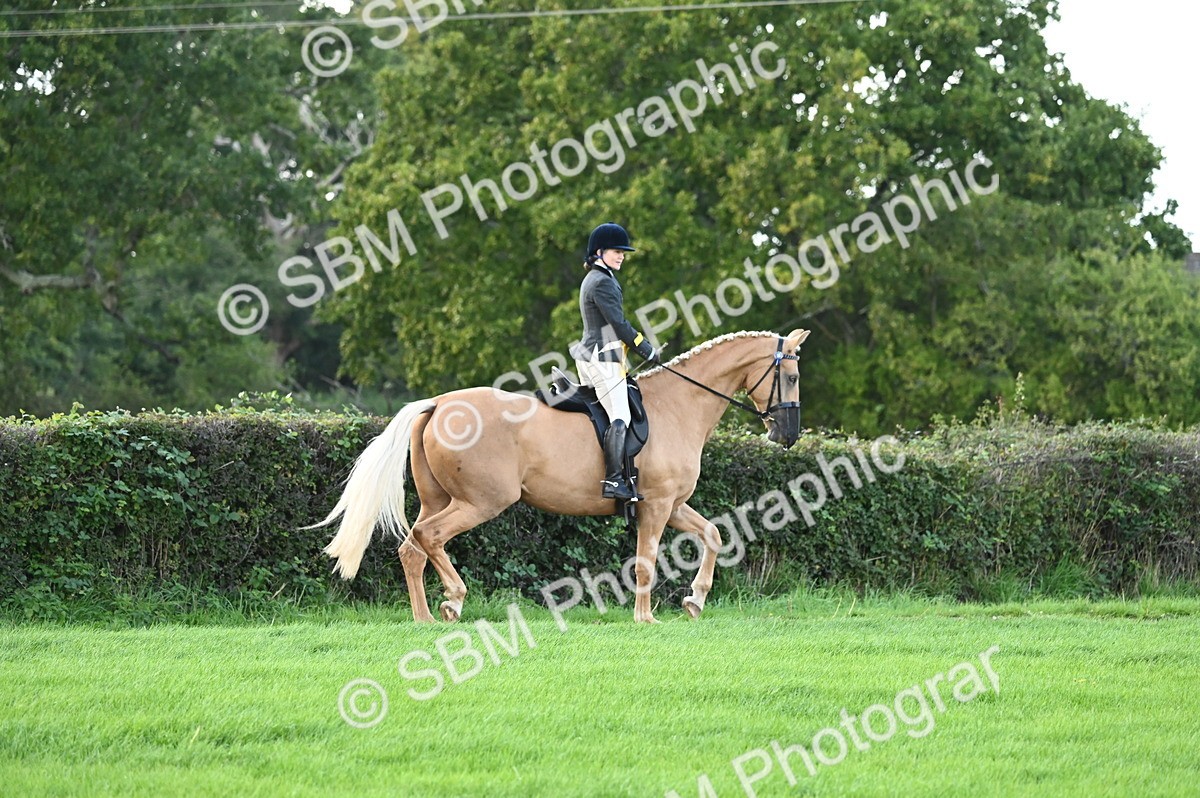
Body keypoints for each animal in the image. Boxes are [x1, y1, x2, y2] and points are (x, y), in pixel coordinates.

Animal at [312, 328, 810, 624]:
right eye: (790, 376)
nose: (787, 435)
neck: (679, 404)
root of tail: (438, 403)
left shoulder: (673, 504)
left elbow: (713, 535)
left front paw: (695, 600)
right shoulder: (656, 505)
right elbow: (646, 562)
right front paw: (645, 618)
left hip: (441, 499)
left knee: (412, 549)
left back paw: (425, 618)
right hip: (480, 501)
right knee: (429, 538)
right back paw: (453, 600)